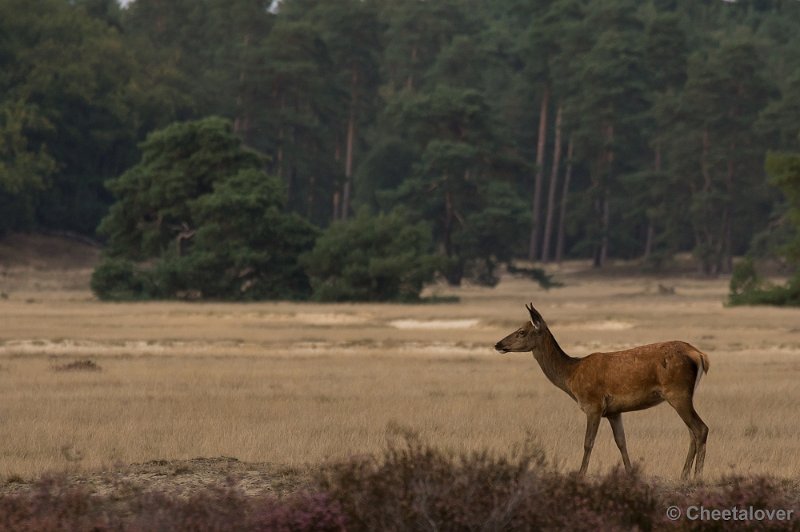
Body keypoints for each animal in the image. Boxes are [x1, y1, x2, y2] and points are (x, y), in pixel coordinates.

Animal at [494, 302, 712, 480]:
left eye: (522, 331)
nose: (498, 344)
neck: (571, 377)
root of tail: (700, 355)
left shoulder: (594, 405)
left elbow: (588, 442)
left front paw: (581, 473)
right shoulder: (614, 412)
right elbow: (621, 442)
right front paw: (630, 473)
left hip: (677, 392)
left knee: (700, 428)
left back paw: (697, 477)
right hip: (684, 395)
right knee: (692, 432)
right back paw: (684, 475)